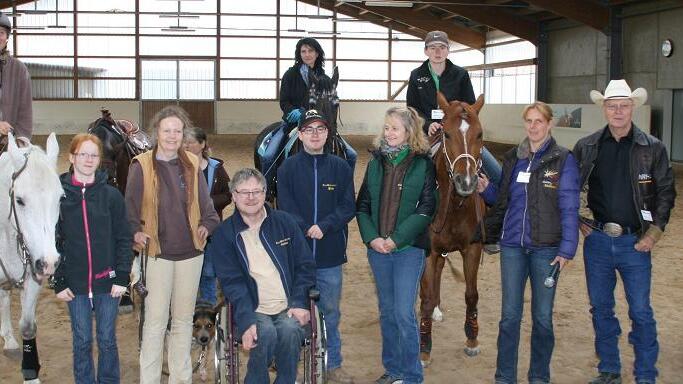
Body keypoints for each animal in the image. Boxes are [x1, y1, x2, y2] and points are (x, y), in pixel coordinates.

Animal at [0, 134, 62, 382]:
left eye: (60, 198)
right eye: (19, 200)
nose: (49, 262)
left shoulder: (33, 277)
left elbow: (27, 326)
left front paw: (31, 375)